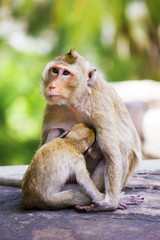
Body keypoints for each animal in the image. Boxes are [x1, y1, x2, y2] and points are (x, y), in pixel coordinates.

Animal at [30, 49, 144, 211]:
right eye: (55, 71)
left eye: (66, 73)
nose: (52, 86)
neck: (77, 100)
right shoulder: (53, 107)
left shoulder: (100, 106)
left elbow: (112, 155)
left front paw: (110, 203)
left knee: (122, 149)